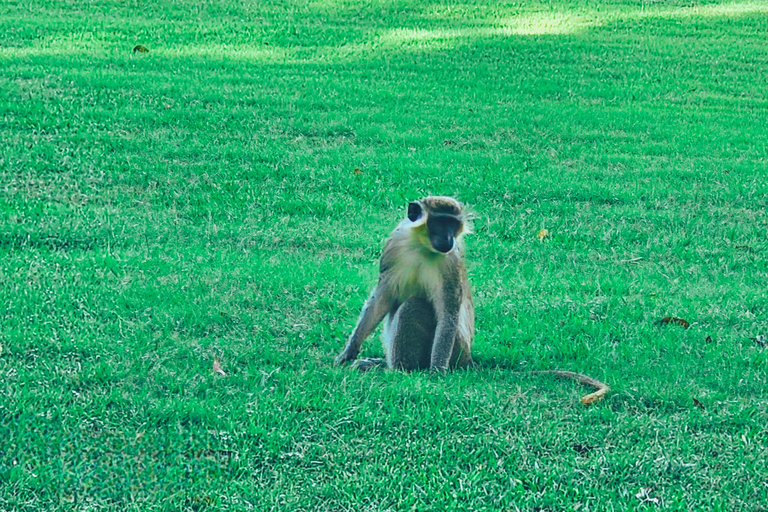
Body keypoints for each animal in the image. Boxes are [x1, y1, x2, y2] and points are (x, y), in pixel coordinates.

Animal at [332, 196, 608, 404]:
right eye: (439, 222)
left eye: (452, 225)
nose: (448, 238)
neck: (423, 247)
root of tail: (468, 359)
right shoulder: (395, 245)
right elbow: (382, 298)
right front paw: (349, 352)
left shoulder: (450, 263)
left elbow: (448, 313)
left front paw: (436, 373)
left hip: (457, 350)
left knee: (414, 305)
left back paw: (395, 370)